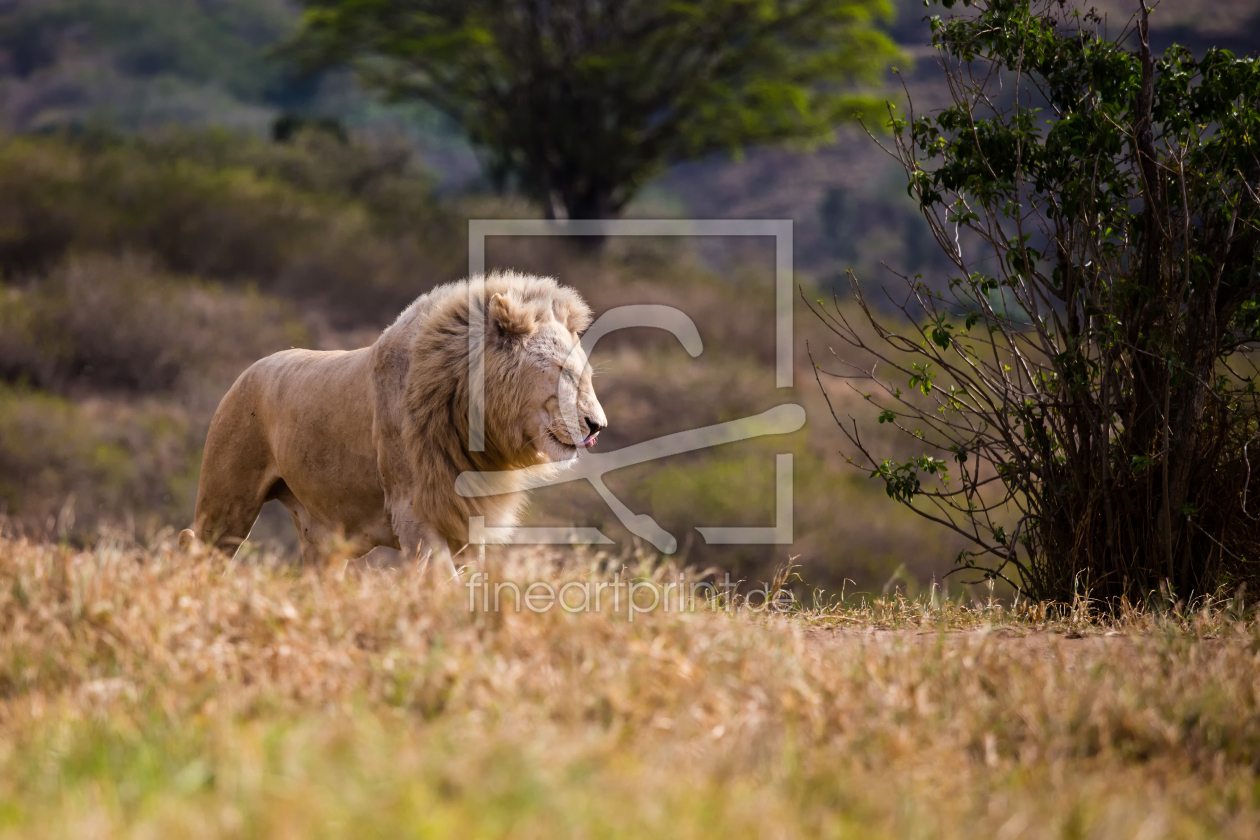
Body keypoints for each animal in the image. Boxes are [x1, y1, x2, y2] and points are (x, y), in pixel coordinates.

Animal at [180, 273, 607, 574]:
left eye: (587, 376)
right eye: (564, 372)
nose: (597, 426)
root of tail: (245, 373)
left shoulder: (466, 519)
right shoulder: (413, 512)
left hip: (324, 544)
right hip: (226, 506)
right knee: (199, 550)